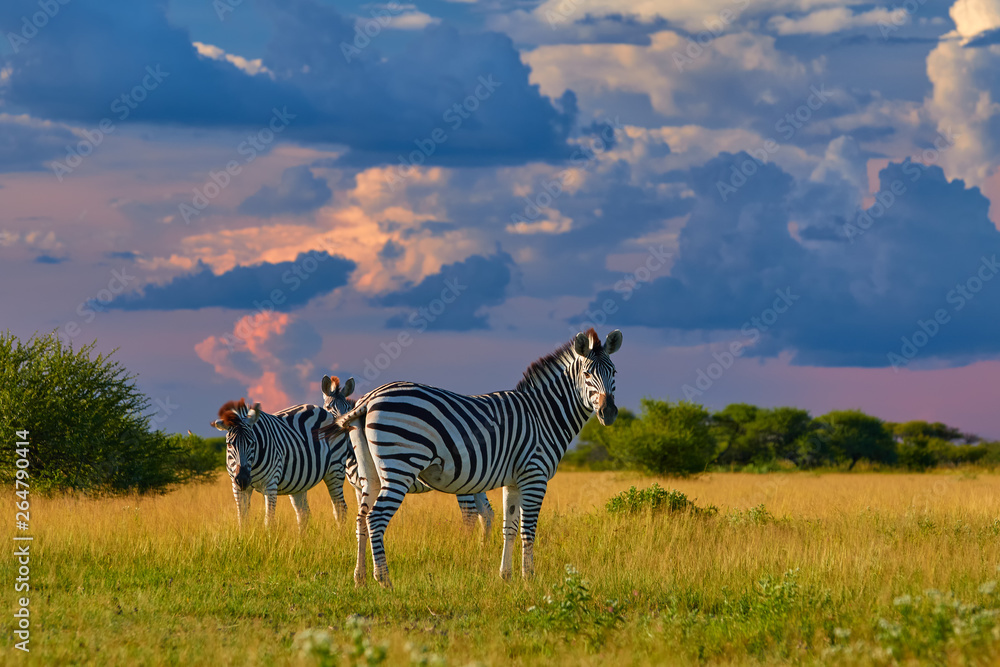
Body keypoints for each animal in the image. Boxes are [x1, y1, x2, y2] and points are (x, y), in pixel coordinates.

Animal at [211, 399, 348, 531]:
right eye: (229, 444)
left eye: (253, 443)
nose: (243, 479)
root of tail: (325, 411)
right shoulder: (236, 487)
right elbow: (242, 521)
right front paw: (243, 538)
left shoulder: (270, 484)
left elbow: (269, 522)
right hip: (299, 482)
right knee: (304, 514)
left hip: (335, 470)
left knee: (340, 509)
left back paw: (340, 535)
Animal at [320, 374, 494, 536]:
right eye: (328, 407)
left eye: (346, 408)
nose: (341, 430)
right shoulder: (359, 487)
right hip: (475, 478)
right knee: (486, 512)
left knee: (470, 512)